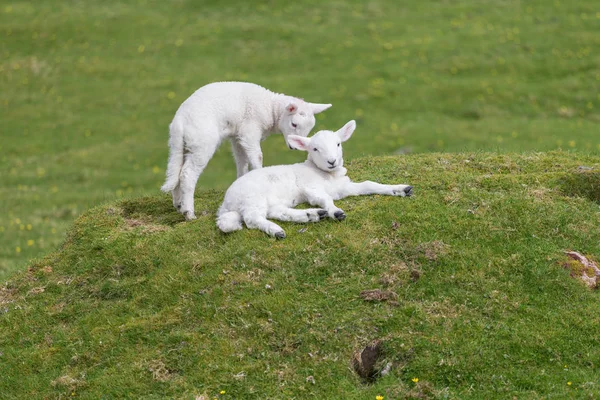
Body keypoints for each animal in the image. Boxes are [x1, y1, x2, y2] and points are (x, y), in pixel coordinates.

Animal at [162, 80, 330, 220]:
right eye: (294, 124)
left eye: (309, 128)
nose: (294, 147)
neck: (270, 109)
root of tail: (180, 121)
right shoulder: (249, 132)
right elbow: (257, 157)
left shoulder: (238, 137)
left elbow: (241, 162)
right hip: (201, 141)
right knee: (187, 173)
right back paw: (189, 213)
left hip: (182, 144)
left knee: (176, 169)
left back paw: (179, 204)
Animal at [218, 119, 414, 238]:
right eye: (315, 149)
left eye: (338, 144)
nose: (332, 161)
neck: (326, 175)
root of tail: (225, 204)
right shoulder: (311, 188)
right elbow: (325, 198)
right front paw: (335, 212)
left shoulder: (343, 187)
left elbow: (369, 184)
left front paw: (400, 189)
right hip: (252, 197)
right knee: (253, 219)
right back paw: (276, 230)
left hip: (268, 201)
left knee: (277, 212)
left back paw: (311, 215)